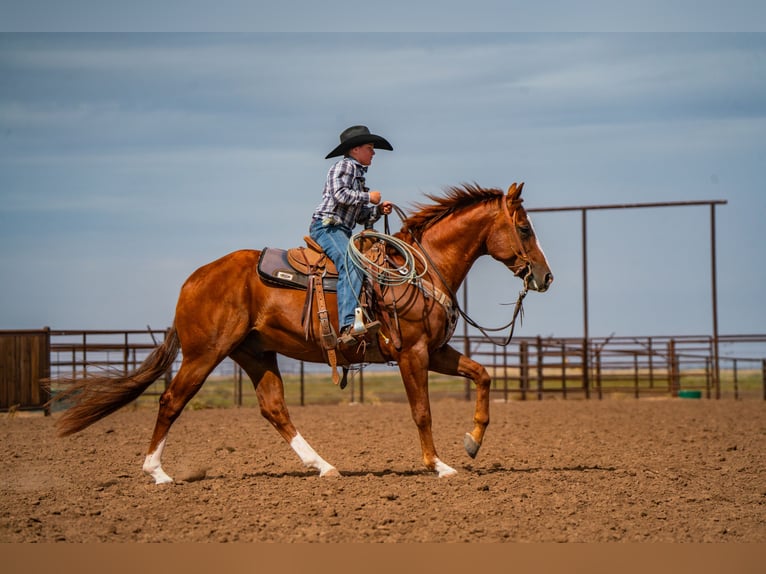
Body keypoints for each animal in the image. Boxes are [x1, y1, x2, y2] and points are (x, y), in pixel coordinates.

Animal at [53, 182, 553, 482]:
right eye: (525, 228)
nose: (545, 277)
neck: (417, 269)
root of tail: (192, 280)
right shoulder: (412, 352)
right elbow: (422, 411)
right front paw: (438, 465)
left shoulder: (436, 351)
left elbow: (483, 375)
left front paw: (473, 442)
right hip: (204, 354)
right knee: (171, 401)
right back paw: (156, 472)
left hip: (255, 353)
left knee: (274, 409)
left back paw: (324, 466)